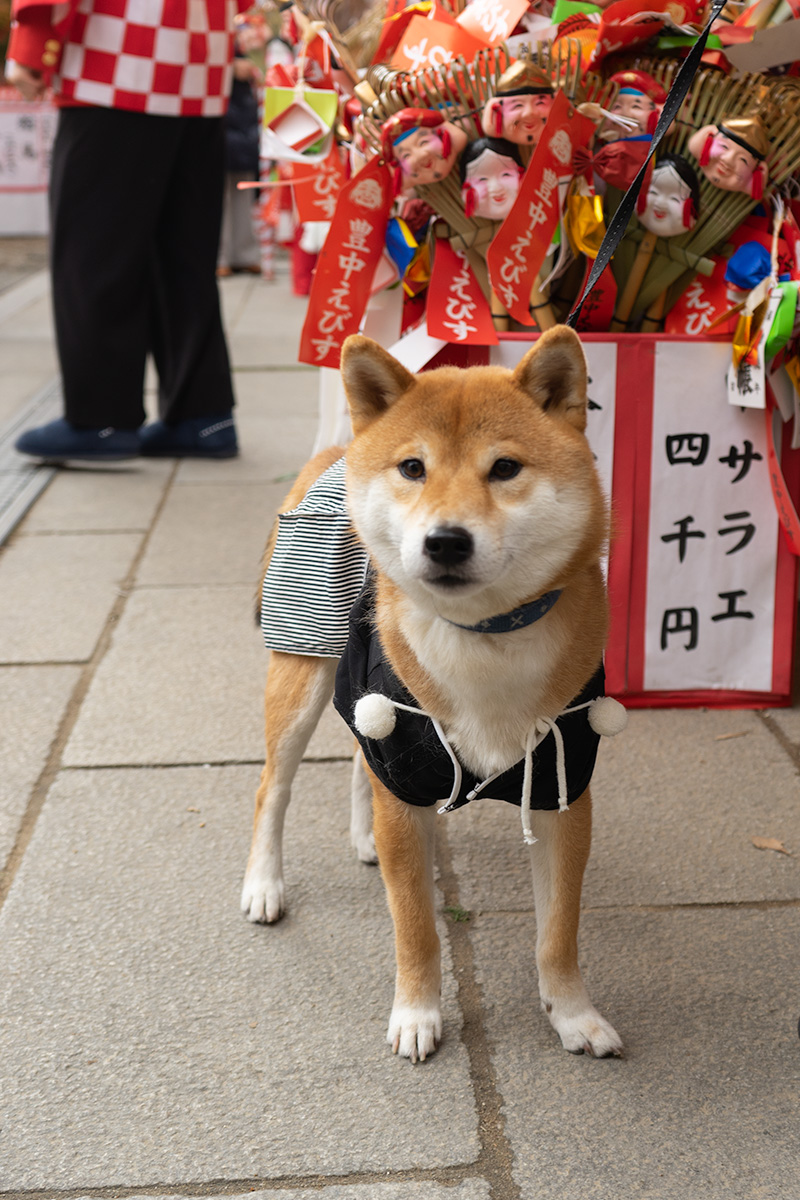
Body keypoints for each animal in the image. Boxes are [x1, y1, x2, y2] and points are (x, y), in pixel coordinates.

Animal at [244, 326, 623, 1060]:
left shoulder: (562, 783)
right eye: (413, 468)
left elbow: (558, 931)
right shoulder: (404, 778)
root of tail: (340, 450)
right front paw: (417, 1015)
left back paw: (360, 838)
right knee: (273, 788)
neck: (483, 639)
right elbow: (416, 926)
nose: (445, 540)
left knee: (359, 763)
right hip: (303, 675)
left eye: (504, 468)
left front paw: (573, 1014)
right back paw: (263, 885)